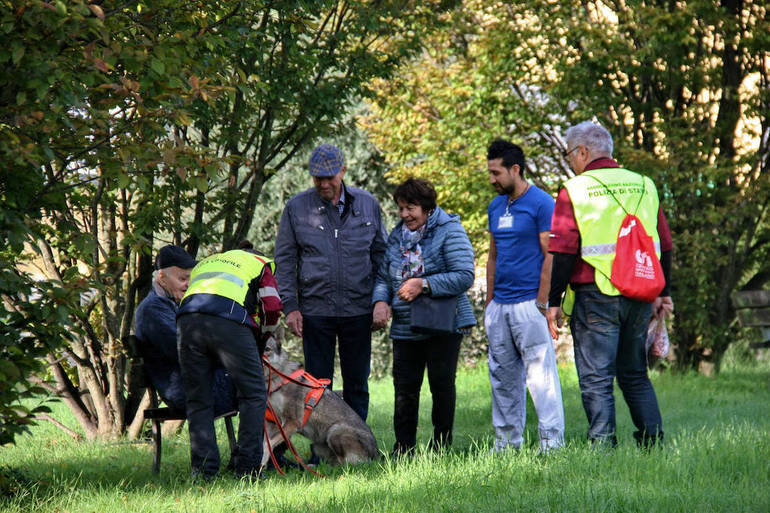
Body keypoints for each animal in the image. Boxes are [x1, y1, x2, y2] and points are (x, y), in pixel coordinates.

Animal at [260, 334, 376, 466]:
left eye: (267, 349)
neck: (277, 380)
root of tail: (377, 454)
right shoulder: (272, 421)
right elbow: (267, 441)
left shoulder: (293, 422)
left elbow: (269, 443)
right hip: (316, 446)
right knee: (334, 462)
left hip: (334, 431)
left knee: (346, 464)